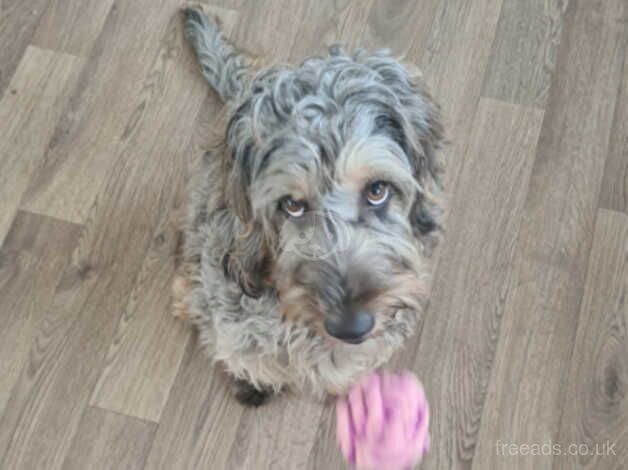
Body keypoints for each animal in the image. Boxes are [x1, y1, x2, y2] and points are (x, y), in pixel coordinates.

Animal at [174, 5, 444, 406]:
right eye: (291, 205)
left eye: (377, 190)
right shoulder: (236, 328)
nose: (351, 327)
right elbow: (248, 358)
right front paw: (253, 383)